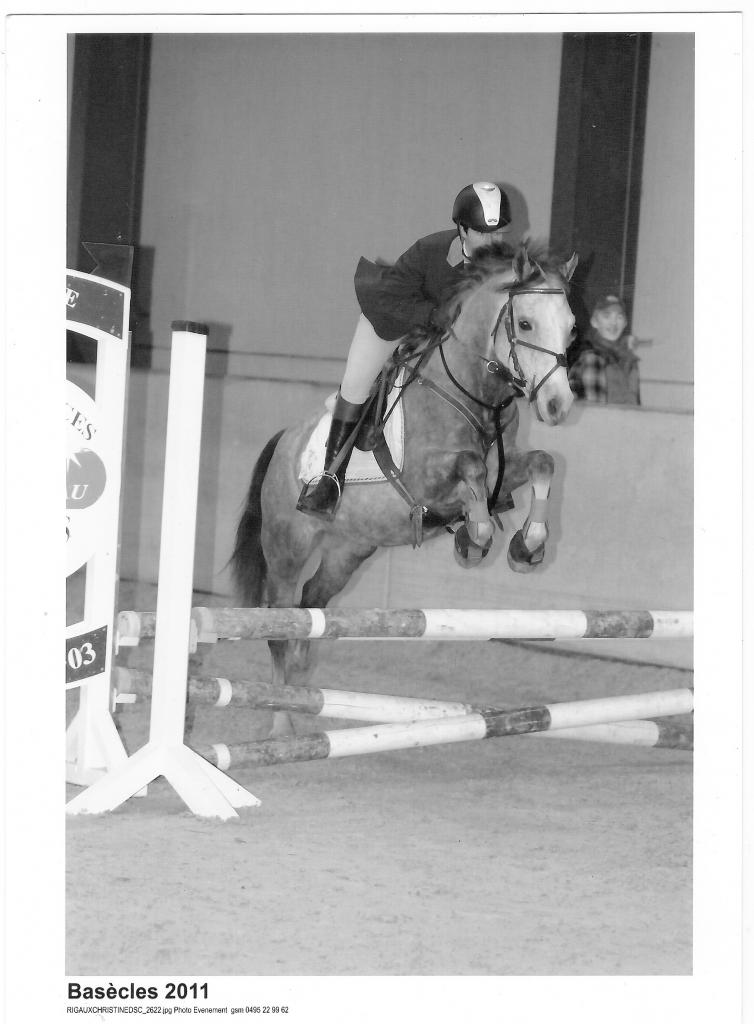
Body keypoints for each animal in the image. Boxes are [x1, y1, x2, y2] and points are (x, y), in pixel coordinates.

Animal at [230, 241, 577, 725]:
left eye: (571, 329)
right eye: (525, 323)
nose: (558, 405)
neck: (475, 392)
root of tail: (284, 441)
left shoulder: (504, 477)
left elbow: (543, 464)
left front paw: (526, 547)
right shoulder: (427, 482)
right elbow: (470, 469)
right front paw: (474, 542)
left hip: (349, 550)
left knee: (309, 608)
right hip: (286, 548)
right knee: (280, 624)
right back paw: (282, 722)